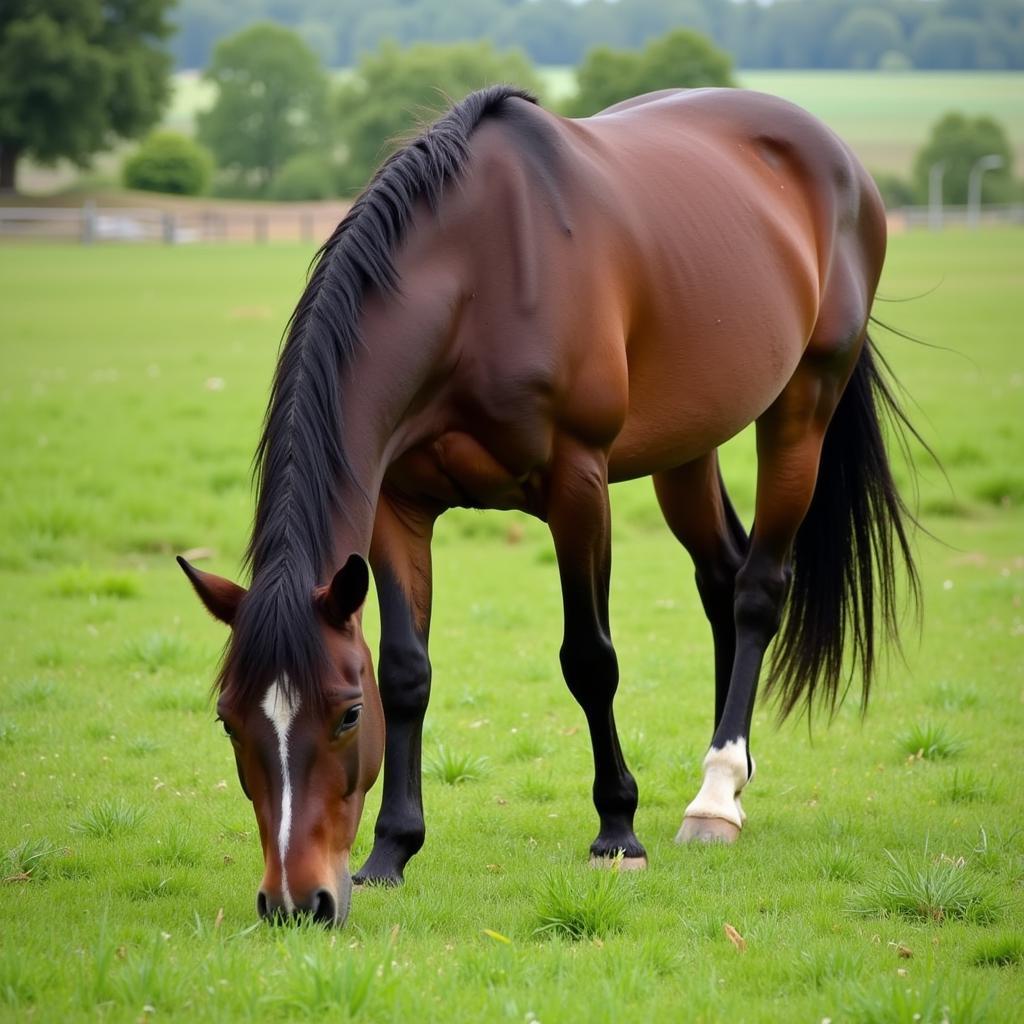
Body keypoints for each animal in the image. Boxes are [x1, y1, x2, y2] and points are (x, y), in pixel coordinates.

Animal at [178, 86, 921, 929]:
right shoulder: (397, 505)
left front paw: (618, 831)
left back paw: (716, 795)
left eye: (344, 715)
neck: (474, 277)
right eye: (228, 717)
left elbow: (590, 660)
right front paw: (392, 849)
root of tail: (836, 155)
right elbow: (406, 669)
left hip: (803, 408)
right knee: (721, 579)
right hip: (688, 445)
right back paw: (731, 779)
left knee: (758, 591)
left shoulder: (579, 485)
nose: (297, 902)